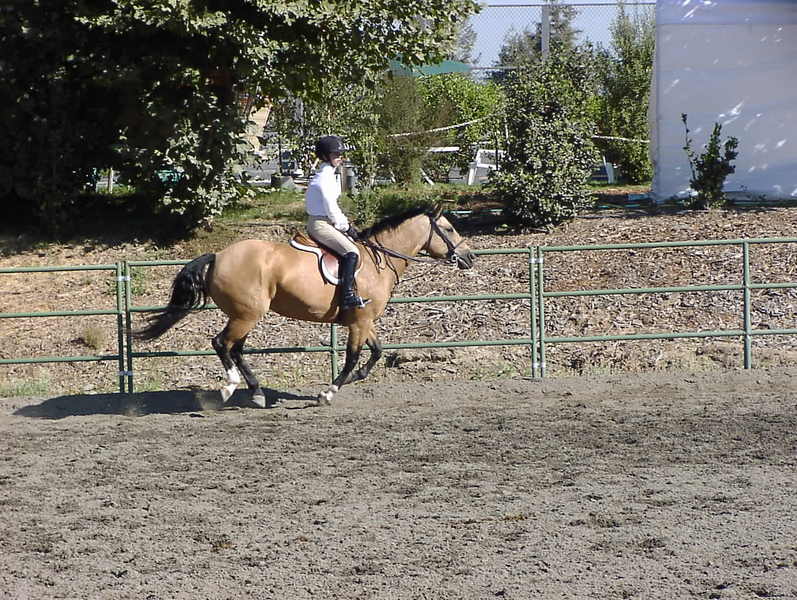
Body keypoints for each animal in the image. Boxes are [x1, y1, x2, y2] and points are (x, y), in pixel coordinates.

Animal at [133, 206, 475, 407]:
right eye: (449, 228)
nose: (470, 257)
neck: (378, 261)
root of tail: (218, 255)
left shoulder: (364, 320)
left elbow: (376, 352)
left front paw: (357, 377)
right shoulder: (358, 322)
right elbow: (352, 357)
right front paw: (329, 392)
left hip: (245, 315)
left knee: (236, 348)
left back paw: (257, 392)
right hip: (247, 314)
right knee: (221, 343)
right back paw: (230, 387)